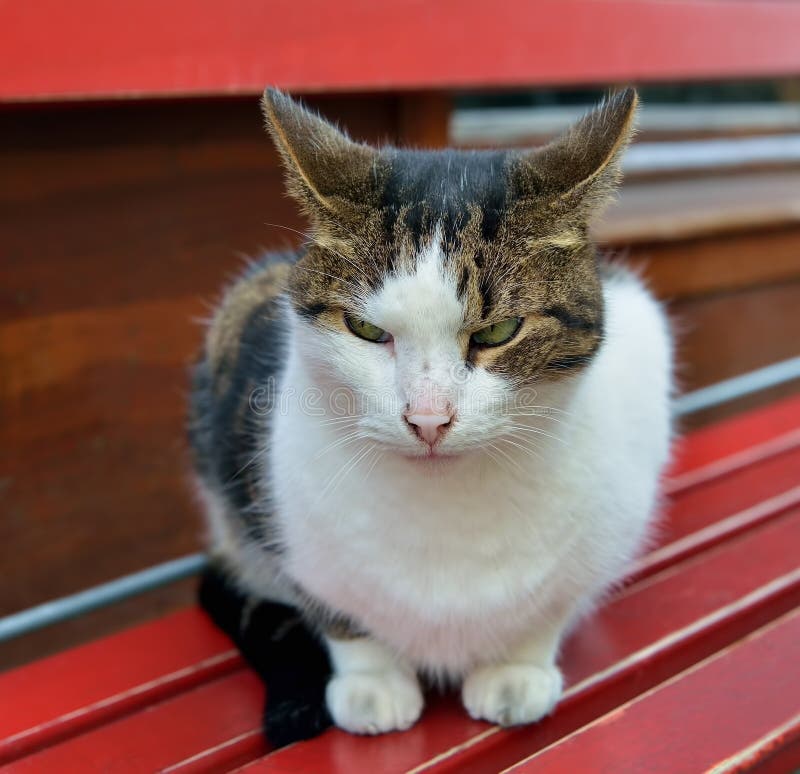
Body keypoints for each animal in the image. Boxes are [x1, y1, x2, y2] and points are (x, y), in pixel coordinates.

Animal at [191, 88, 672, 748]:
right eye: (366, 329)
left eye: (498, 332)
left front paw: (516, 668)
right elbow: (336, 611)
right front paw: (371, 681)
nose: (427, 418)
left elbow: (551, 605)